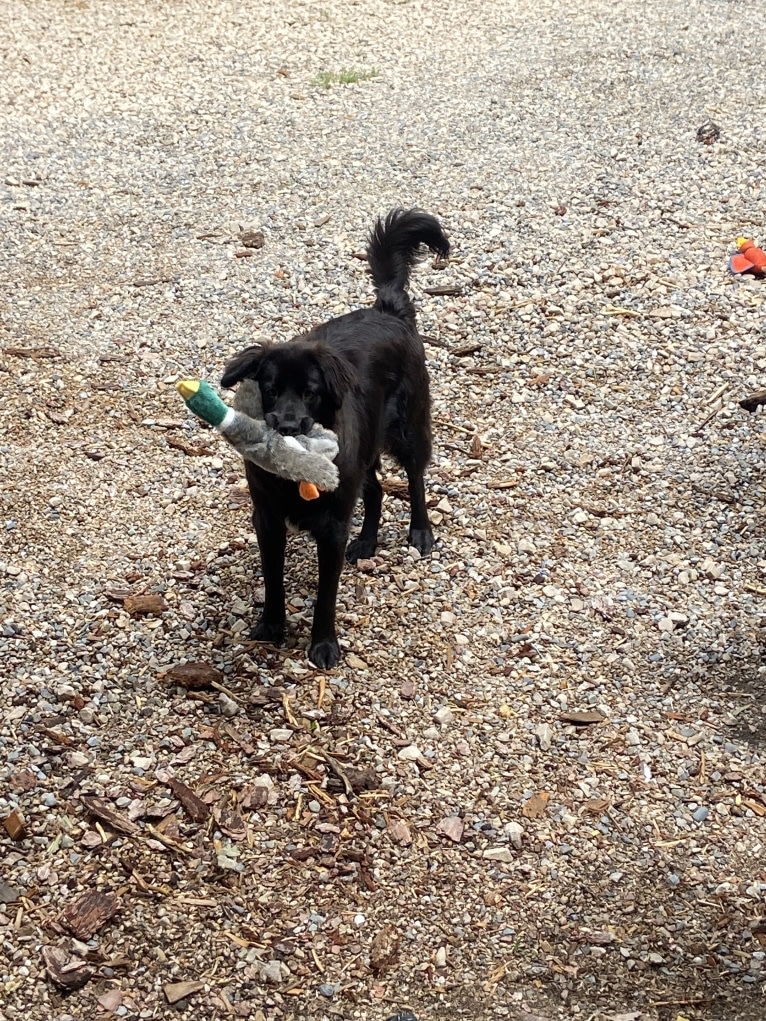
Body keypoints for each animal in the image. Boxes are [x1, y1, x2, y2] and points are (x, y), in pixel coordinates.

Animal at [221, 209, 449, 669]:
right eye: (270, 389)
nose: (288, 427)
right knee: (376, 489)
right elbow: (273, 580)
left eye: (311, 392)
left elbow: (326, 594)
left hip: (408, 431)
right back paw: (368, 540)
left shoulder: (331, 528)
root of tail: (388, 310)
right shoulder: (267, 519)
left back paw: (420, 533)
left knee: (415, 481)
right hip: (365, 450)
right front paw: (271, 626)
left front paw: (323, 645)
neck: (292, 483)